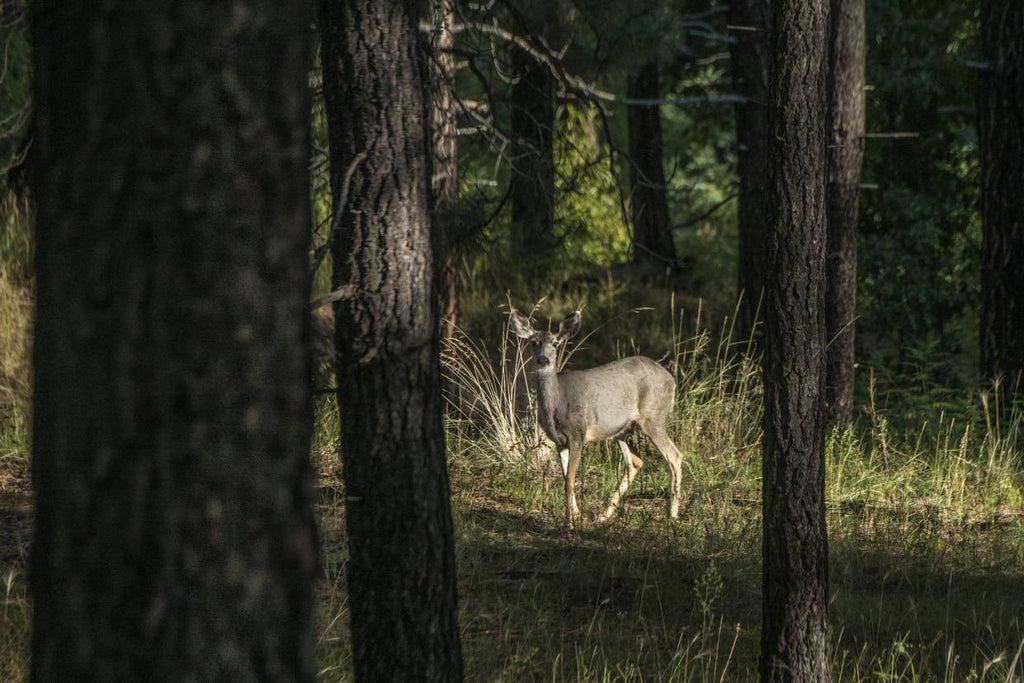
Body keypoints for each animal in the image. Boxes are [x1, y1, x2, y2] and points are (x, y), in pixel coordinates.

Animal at [507, 309, 684, 528]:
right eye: (533, 342)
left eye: (555, 343)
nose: (543, 360)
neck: (557, 404)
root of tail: (671, 379)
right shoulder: (559, 441)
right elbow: (566, 478)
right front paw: (575, 516)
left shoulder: (578, 433)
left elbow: (570, 481)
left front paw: (570, 523)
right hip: (622, 430)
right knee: (636, 461)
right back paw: (603, 515)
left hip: (653, 418)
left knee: (675, 456)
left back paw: (672, 515)